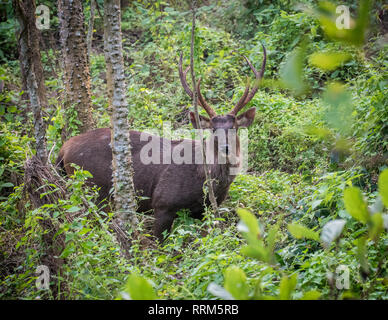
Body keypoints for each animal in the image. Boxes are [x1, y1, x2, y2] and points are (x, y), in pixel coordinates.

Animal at [56, 47, 266, 240]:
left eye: (234, 127)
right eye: (213, 129)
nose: (225, 148)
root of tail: (63, 149)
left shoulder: (201, 211)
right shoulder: (162, 203)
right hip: (91, 187)